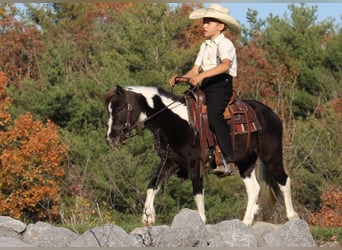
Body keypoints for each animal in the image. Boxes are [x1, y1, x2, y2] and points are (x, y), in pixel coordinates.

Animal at [104, 85, 300, 226]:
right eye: (110, 110)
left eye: (120, 108)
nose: (110, 138)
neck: (178, 122)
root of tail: (272, 114)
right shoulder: (171, 162)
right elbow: (153, 185)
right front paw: (148, 218)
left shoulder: (194, 163)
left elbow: (197, 192)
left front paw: (201, 220)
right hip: (246, 162)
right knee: (254, 189)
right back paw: (246, 222)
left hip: (271, 156)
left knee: (284, 180)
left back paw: (292, 216)